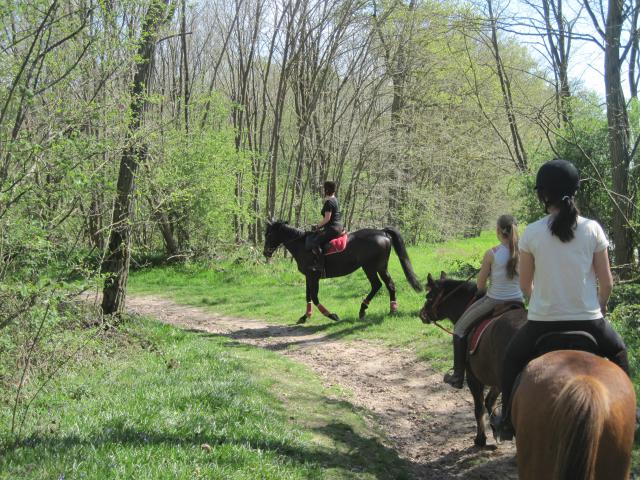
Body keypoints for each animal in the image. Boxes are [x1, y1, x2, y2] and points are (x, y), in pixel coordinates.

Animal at [262, 220, 422, 324]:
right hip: (375, 267)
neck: (302, 246)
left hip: (372, 267)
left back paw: (379, 309)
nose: (265, 253)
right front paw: (305, 316)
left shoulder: (313, 275)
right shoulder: (309, 276)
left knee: (382, 285)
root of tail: (382, 232)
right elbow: (308, 296)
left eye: (269, 235)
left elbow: (314, 297)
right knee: (384, 285)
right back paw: (378, 310)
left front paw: (331, 315)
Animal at [418, 272, 528, 448]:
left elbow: (479, 408)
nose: (422, 314)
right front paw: (495, 428)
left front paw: (481, 439)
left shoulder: (473, 377)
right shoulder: (496, 381)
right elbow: (490, 401)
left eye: (429, 296)